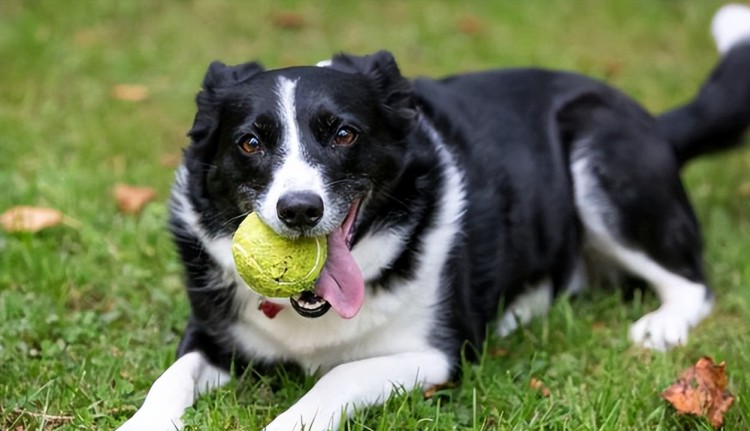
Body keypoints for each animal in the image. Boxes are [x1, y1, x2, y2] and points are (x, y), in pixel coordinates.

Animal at [117, 5, 750, 430]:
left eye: (344, 134)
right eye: (250, 142)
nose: (299, 210)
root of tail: (651, 121)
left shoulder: (436, 353)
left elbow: (339, 375)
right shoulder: (211, 335)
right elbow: (168, 379)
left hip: (600, 155)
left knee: (692, 282)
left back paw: (662, 324)